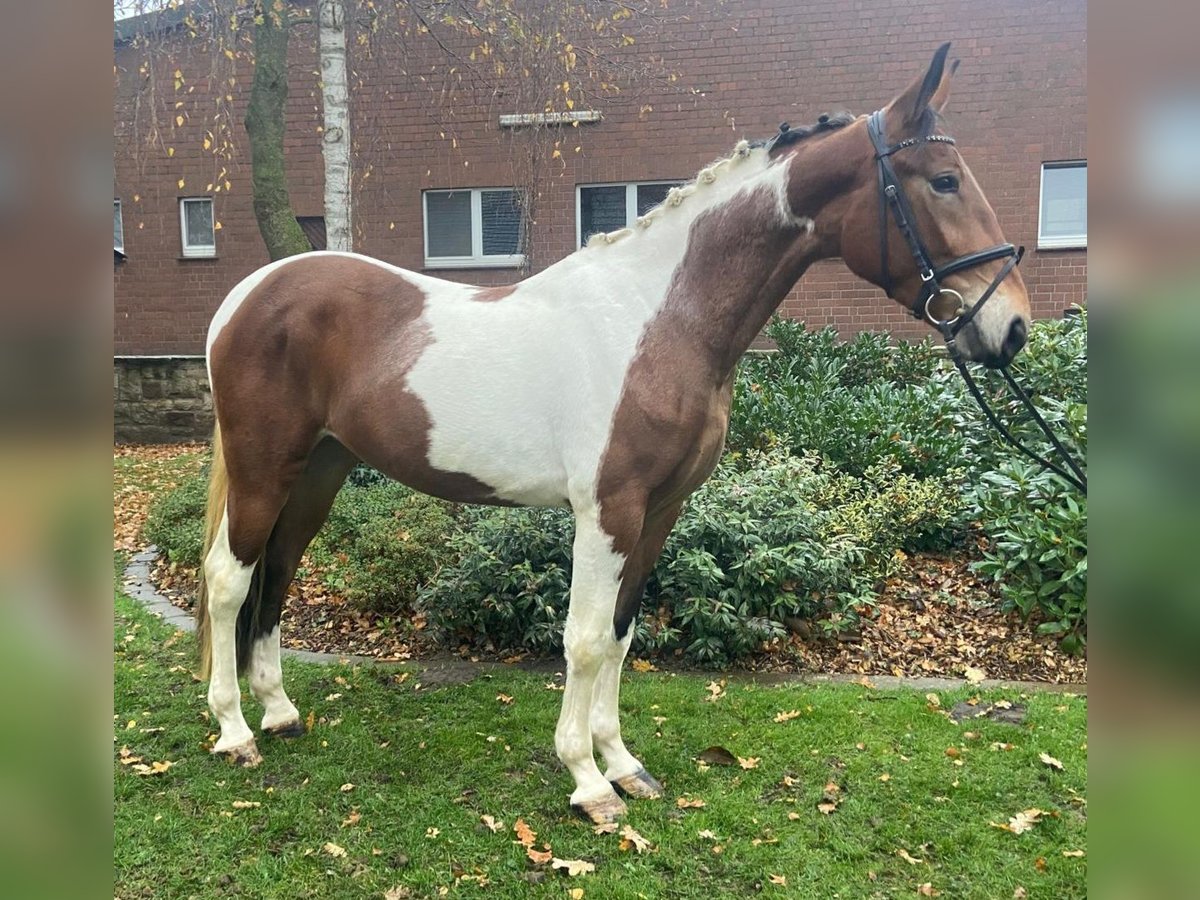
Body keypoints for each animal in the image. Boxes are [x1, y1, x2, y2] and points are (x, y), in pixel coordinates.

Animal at [196, 42, 1031, 824]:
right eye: (944, 180)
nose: (1012, 326)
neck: (657, 320)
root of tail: (244, 296)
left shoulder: (661, 510)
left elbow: (624, 634)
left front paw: (623, 764)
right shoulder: (608, 511)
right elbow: (587, 639)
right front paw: (588, 782)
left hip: (319, 471)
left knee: (277, 572)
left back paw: (279, 713)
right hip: (265, 466)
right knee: (229, 578)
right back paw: (234, 732)